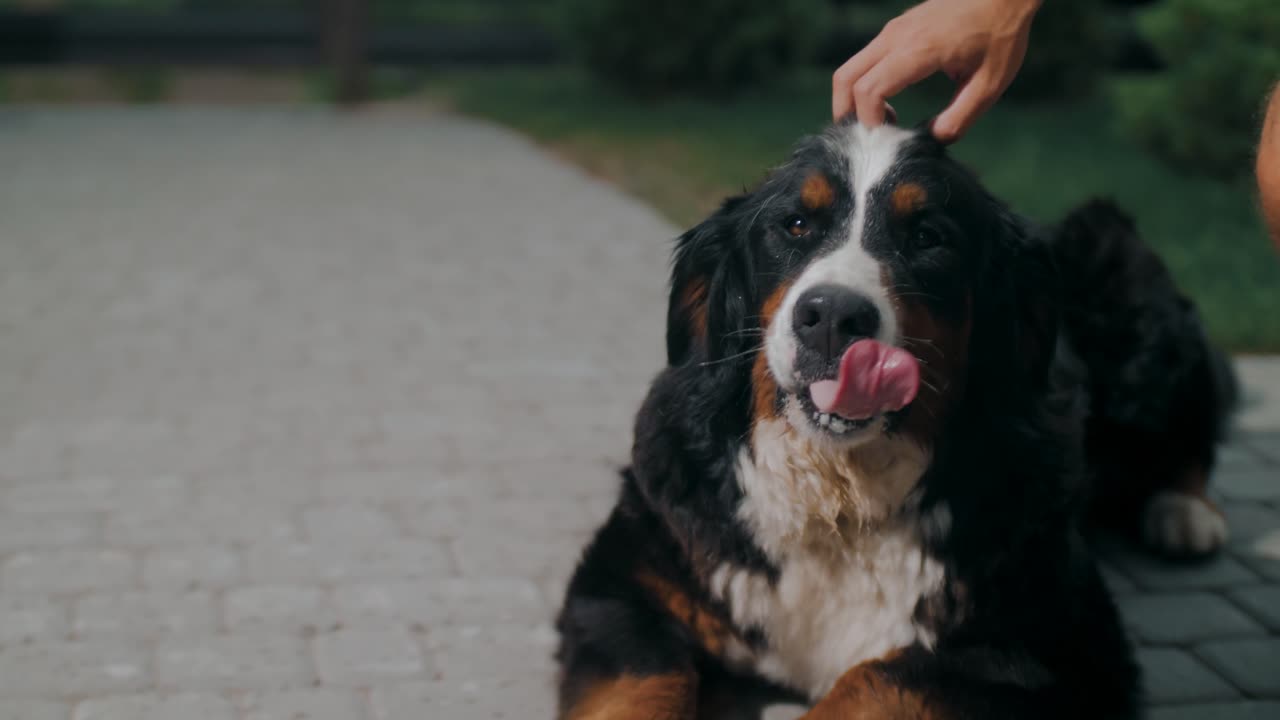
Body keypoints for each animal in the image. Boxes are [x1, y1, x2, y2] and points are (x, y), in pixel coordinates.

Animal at [555, 120, 1233, 717]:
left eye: (928, 237)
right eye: (795, 225)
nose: (831, 316)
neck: (839, 502)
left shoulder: (1054, 645)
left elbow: (876, 679)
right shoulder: (622, 588)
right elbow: (639, 684)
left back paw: (1186, 511)